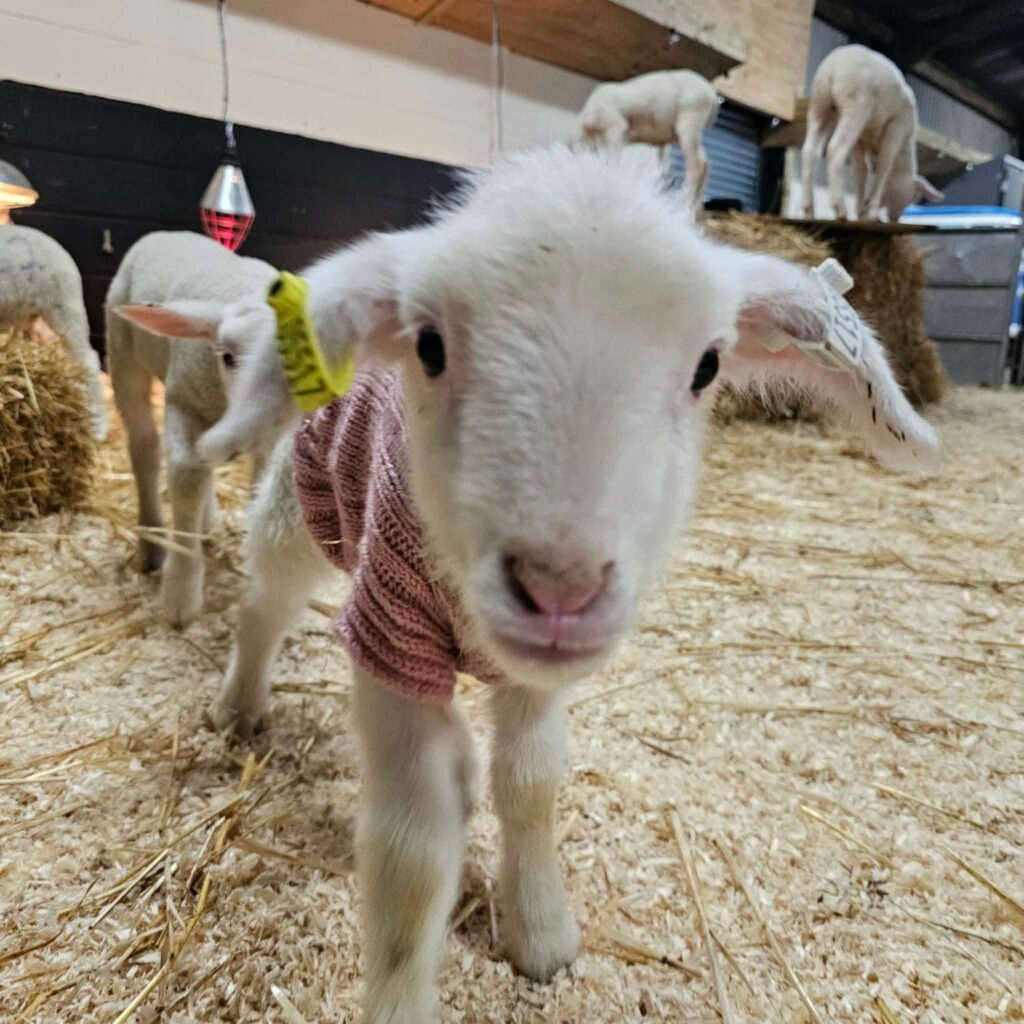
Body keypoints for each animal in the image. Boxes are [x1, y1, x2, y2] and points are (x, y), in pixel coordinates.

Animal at [105, 230, 278, 627]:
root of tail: (167, 233)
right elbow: (186, 477)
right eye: (227, 357)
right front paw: (180, 595)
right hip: (123, 353)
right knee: (144, 446)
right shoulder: (181, 400)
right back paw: (153, 543)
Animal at [164, 145, 939, 1022]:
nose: (560, 587)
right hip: (301, 504)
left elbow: (531, 786)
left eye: (707, 365)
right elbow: (410, 851)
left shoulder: (538, 678)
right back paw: (237, 707)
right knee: (266, 599)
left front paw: (540, 933)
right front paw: (401, 995)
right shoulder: (389, 636)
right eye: (429, 346)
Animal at [576, 69, 719, 213]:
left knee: (696, 163)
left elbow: (612, 158)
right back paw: (696, 207)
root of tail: (712, 96)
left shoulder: (616, 127)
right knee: (705, 163)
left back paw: (684, 201)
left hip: (689, 123)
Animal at [801, 44, 944, 222]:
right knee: (836, 148)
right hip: (855, 106)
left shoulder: (861, 139)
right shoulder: (897, 127)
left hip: (820, 104)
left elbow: (862, 170)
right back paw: (840, 208)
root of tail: (833, 64)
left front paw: (862, 209)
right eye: (913, 197)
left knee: (810, 150)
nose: (895, 219)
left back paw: (808, 209)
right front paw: (872, 211)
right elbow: (884, 165)